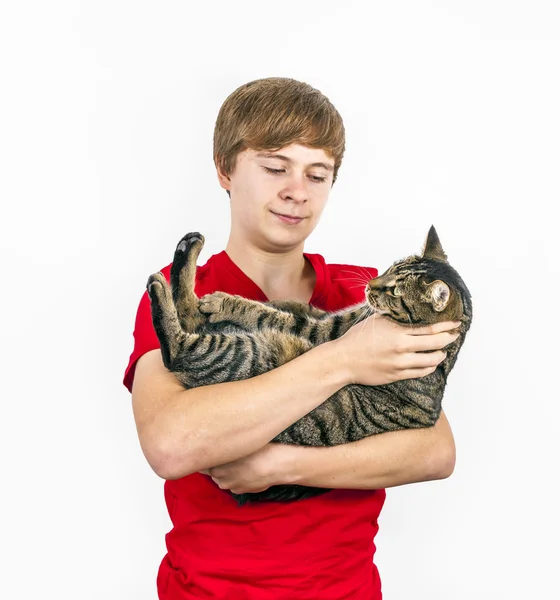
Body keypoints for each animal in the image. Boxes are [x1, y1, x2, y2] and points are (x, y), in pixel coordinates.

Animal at [147, 227, 470, 504]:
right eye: (390, 268)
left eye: (395, 292)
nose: (370, 284)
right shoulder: (331, 317)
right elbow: (290, 305)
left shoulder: (321, 333)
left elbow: (269, 314)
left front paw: (227, 302)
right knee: (190, 317)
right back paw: (187, 250)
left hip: (251, 352)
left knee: (180, 345)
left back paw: (161, 285)